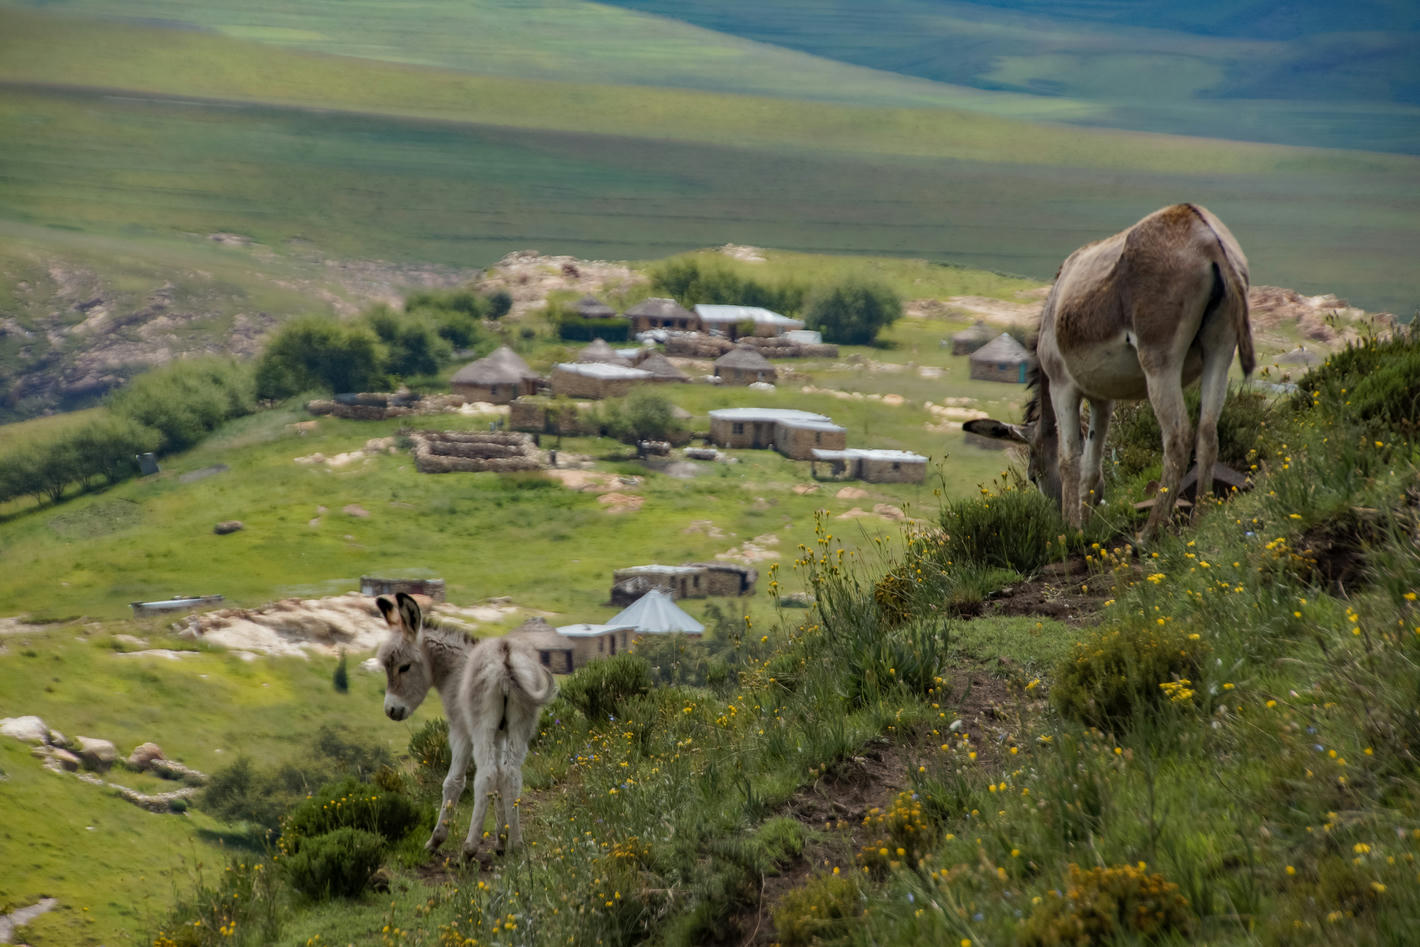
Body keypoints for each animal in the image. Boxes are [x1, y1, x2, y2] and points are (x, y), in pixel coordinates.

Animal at [374, 596, 556, 863]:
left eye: (404, 667)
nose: (391, 710)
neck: (454, 670)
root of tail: (505, 659)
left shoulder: (460, 730)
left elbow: (454, 782)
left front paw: (435, 840)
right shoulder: (500, 735)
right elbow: (501, 782)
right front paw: (502, 839)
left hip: (481, 729)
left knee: (485, 775)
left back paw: (469, 849)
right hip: (520, 725)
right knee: (511, 774)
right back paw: (517, 845)